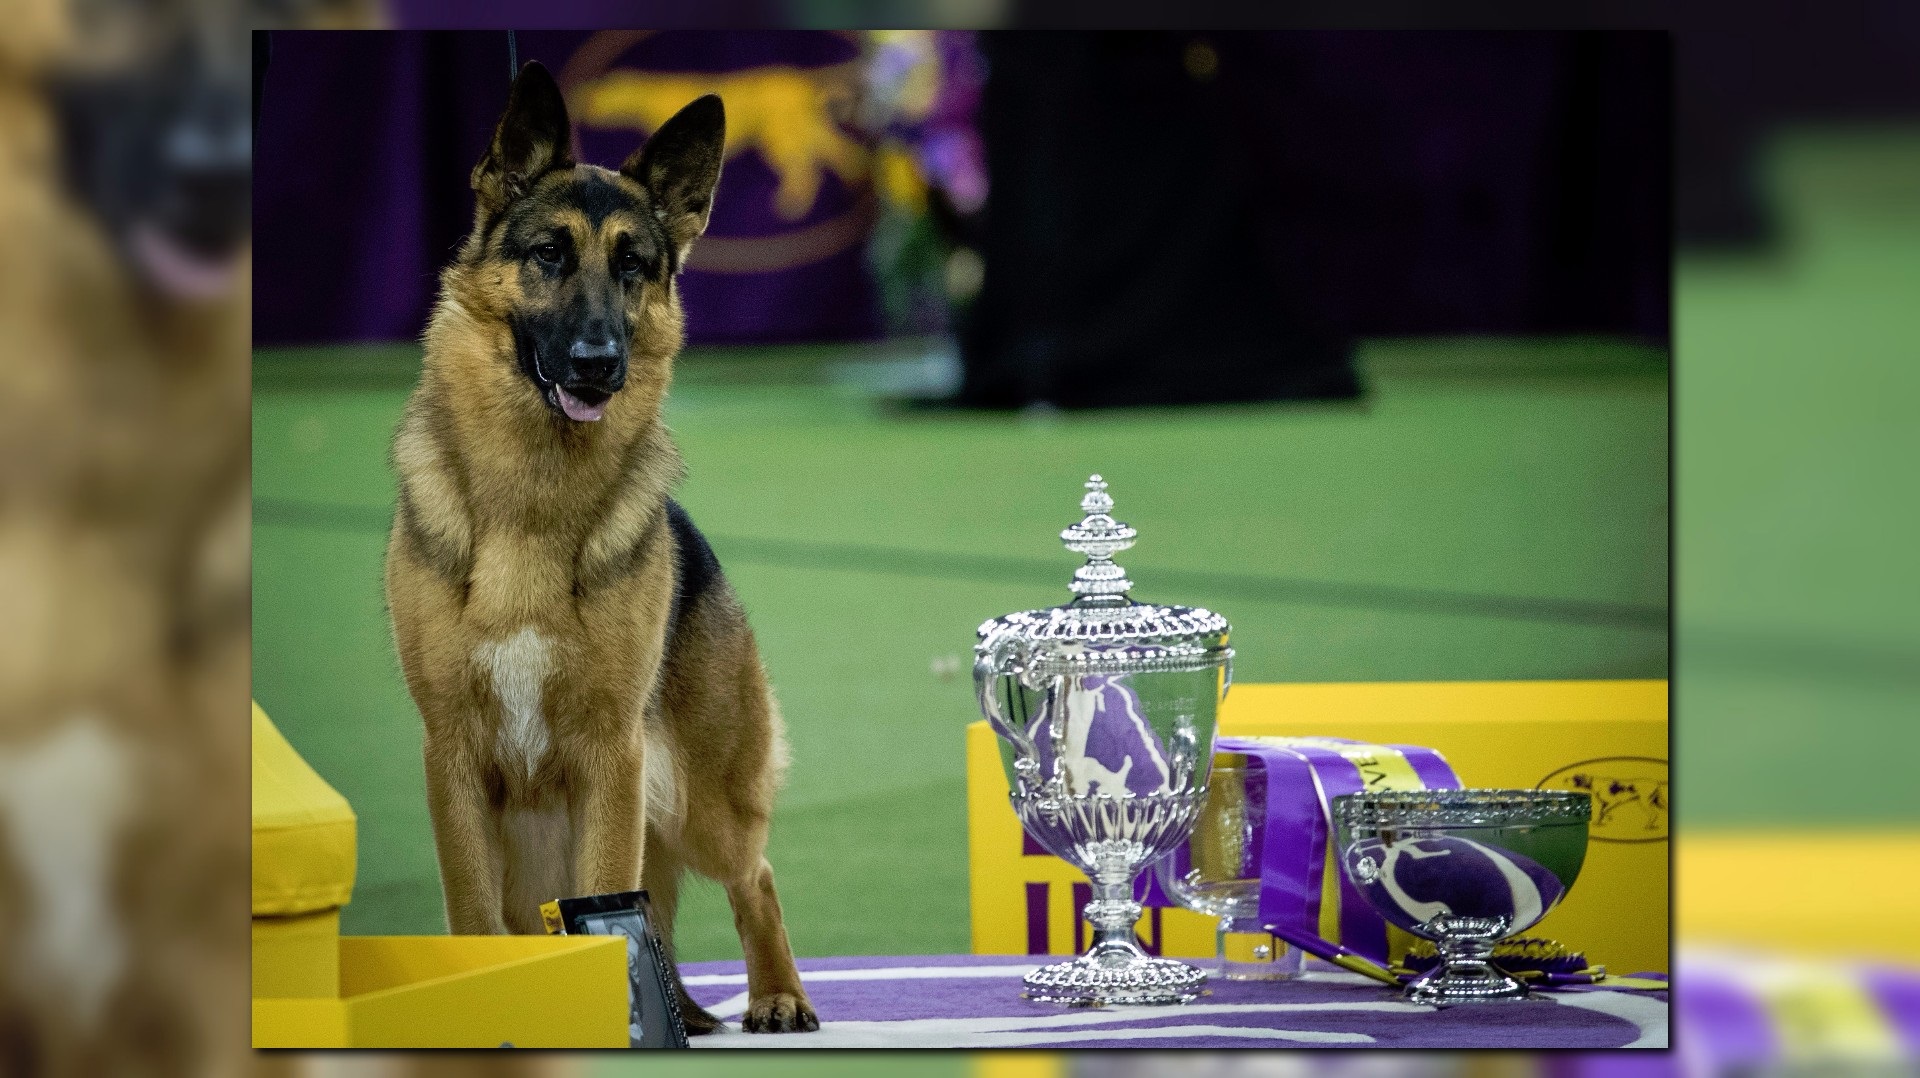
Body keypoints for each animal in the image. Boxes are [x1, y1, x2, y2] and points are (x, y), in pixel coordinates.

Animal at [382, 61, 817, 1037]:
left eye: (632, 267)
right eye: (550, 255)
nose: (597, 363)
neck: (531, 504)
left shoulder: (610, 758)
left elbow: (613, 898)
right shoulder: (451, 761)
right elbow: (472, 915)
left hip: (699, 802)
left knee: (756, 878)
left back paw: (776, 994)